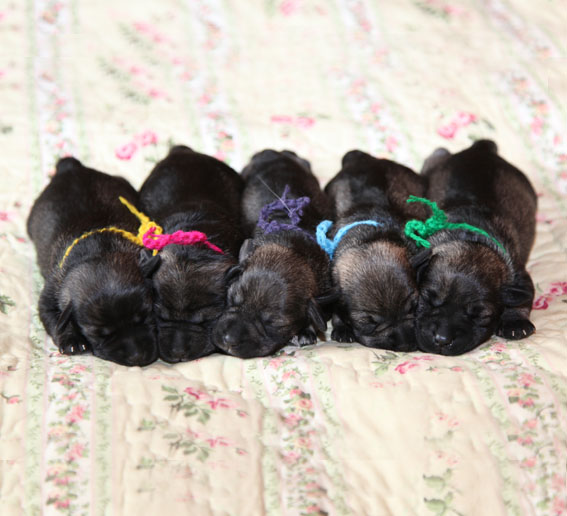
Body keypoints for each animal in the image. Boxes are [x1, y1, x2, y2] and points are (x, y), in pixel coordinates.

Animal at [27, 157, 159, 366]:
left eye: (146, 316)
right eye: (100, 334)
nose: (138, 357)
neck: (101, 251)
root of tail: (70, 167)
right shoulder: (49, 297)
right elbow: (56, 321)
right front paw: (72, 340)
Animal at [212, 149, 334, 358]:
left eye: (275, 323)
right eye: (232, 298)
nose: (228, 340)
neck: (293, 249)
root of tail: (273, 152)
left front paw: (305, 331)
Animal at [323, 150, 428, 351]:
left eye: (413, 307)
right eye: (369, 324)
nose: (406, 345)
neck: (369, 237)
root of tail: (361, 156)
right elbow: (335, 310)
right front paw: (341, 328)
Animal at [413, 139, 537, 355]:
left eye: (480, 315)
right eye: (427, 299)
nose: (442, 339)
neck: (472, 241)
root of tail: (480, 148)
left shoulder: (519, 275)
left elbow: (521, 298)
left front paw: (516, 322)